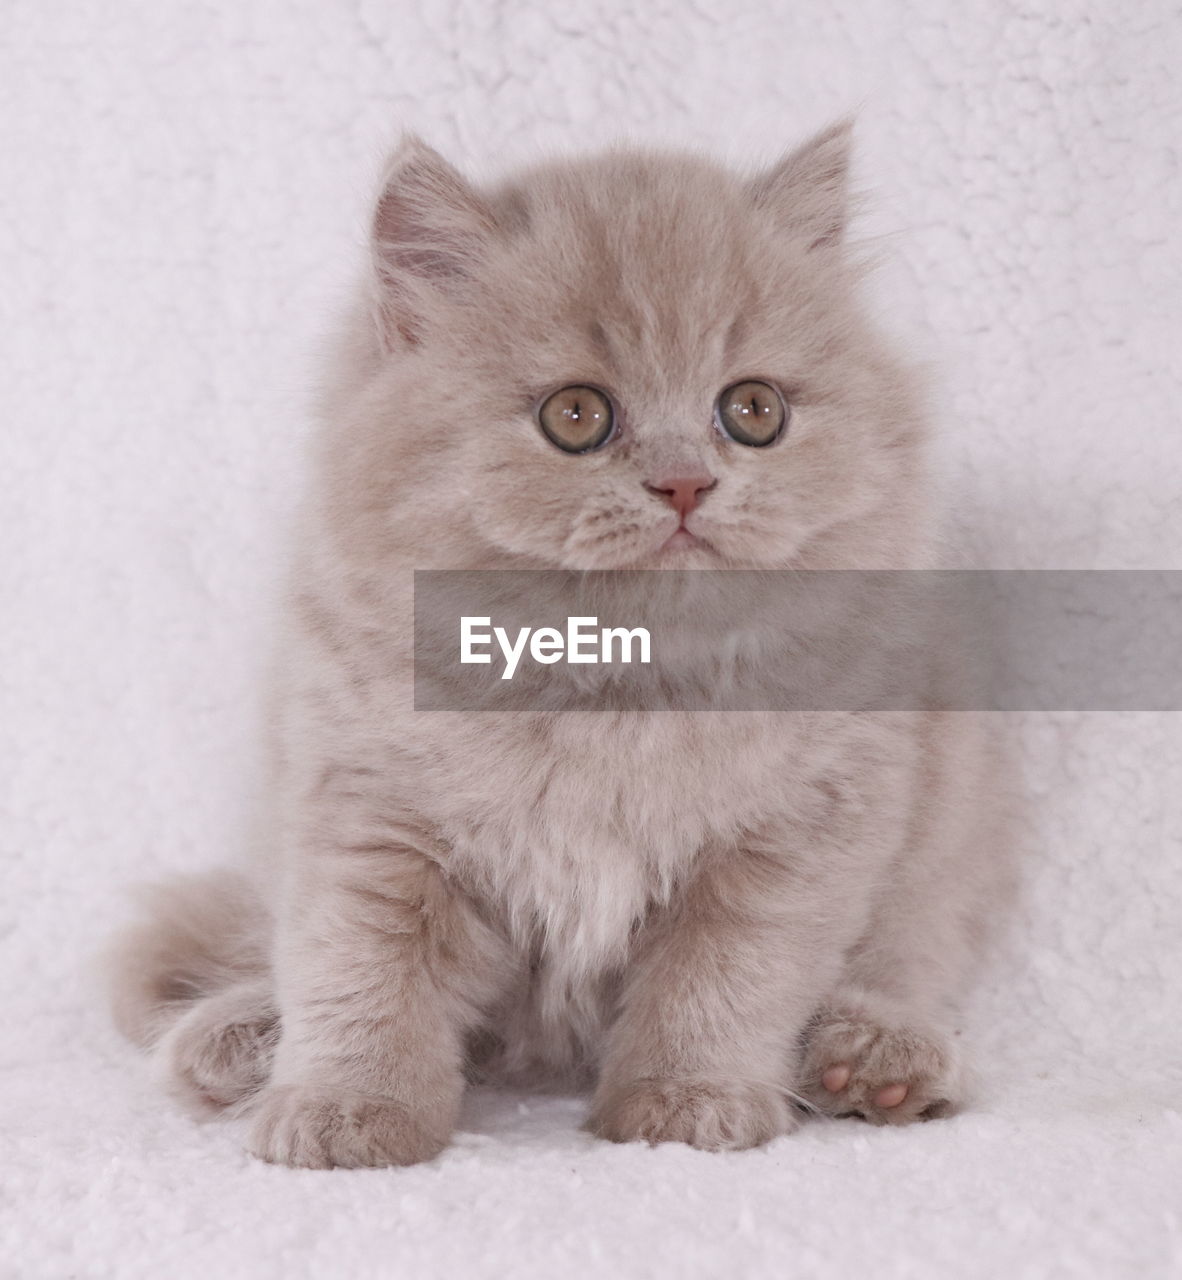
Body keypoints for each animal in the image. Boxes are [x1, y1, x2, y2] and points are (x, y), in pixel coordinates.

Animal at [108, 122, 1009, 1172]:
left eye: (753, 411)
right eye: (576, 416)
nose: (685, 484)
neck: (610, 692)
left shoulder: (798, 833)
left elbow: (726, 980)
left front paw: (687, 1105)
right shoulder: (370, 814)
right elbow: (361, 974)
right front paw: (345, 1113)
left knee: (910, 951)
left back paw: (870, 1056)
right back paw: (239, 1037)